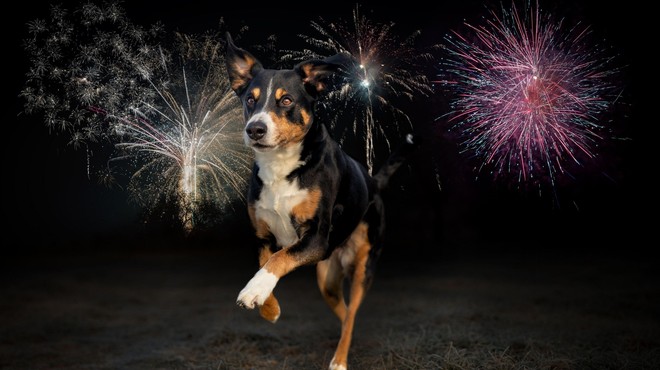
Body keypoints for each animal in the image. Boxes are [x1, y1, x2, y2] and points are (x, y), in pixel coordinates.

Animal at [224, 32, 416, 370]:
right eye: (250, 100)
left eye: (286, 100)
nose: (255, 129)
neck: (281, 165)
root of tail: (373, 184)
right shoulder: (263, 235)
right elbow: (267, 261)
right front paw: (269, 307)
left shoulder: (315, 237)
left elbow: (278, 259)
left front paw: (252, 291)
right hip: (326, 277)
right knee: (346, 314)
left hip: (364, 264)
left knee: (352, 312)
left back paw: (339, 359)